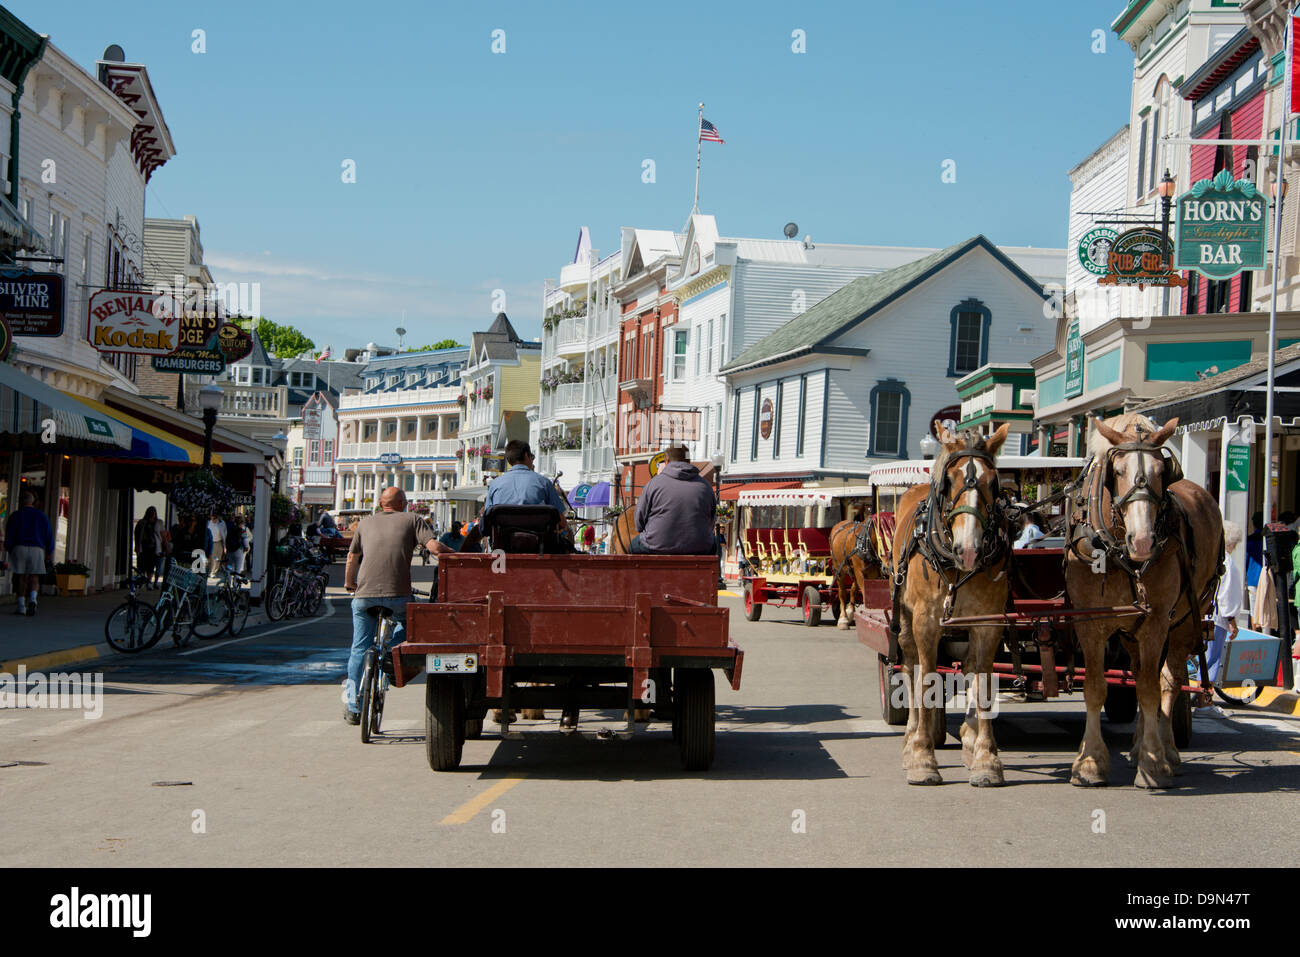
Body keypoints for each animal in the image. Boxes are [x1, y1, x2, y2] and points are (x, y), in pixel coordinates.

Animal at [894, 423, 1013, 785]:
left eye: (994, 483)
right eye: (949, 481)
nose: (969, 549)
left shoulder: (989, 623)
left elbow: (984, 681)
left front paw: (986, 758)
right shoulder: (925, 620)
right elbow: (927, 678)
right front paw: (922, 756)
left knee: (970, 666)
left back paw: (969, 740)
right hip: (905, 619)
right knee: (911, 666)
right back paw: (912, 737)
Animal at [1060, 416, 1222, 790]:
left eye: (1162, 470)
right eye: (1117, 470)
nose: (1144, 541)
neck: (1119, 552)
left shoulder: (1156, 622)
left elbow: (1150, 690)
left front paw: (1154, 765)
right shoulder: (1090, 623)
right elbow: (1096, 687)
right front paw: (1090, 763)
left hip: (1186, 622)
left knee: (1168, 680)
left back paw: (1166, 751)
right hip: (1132, 632)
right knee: (1137, 672)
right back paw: (1138, 747)